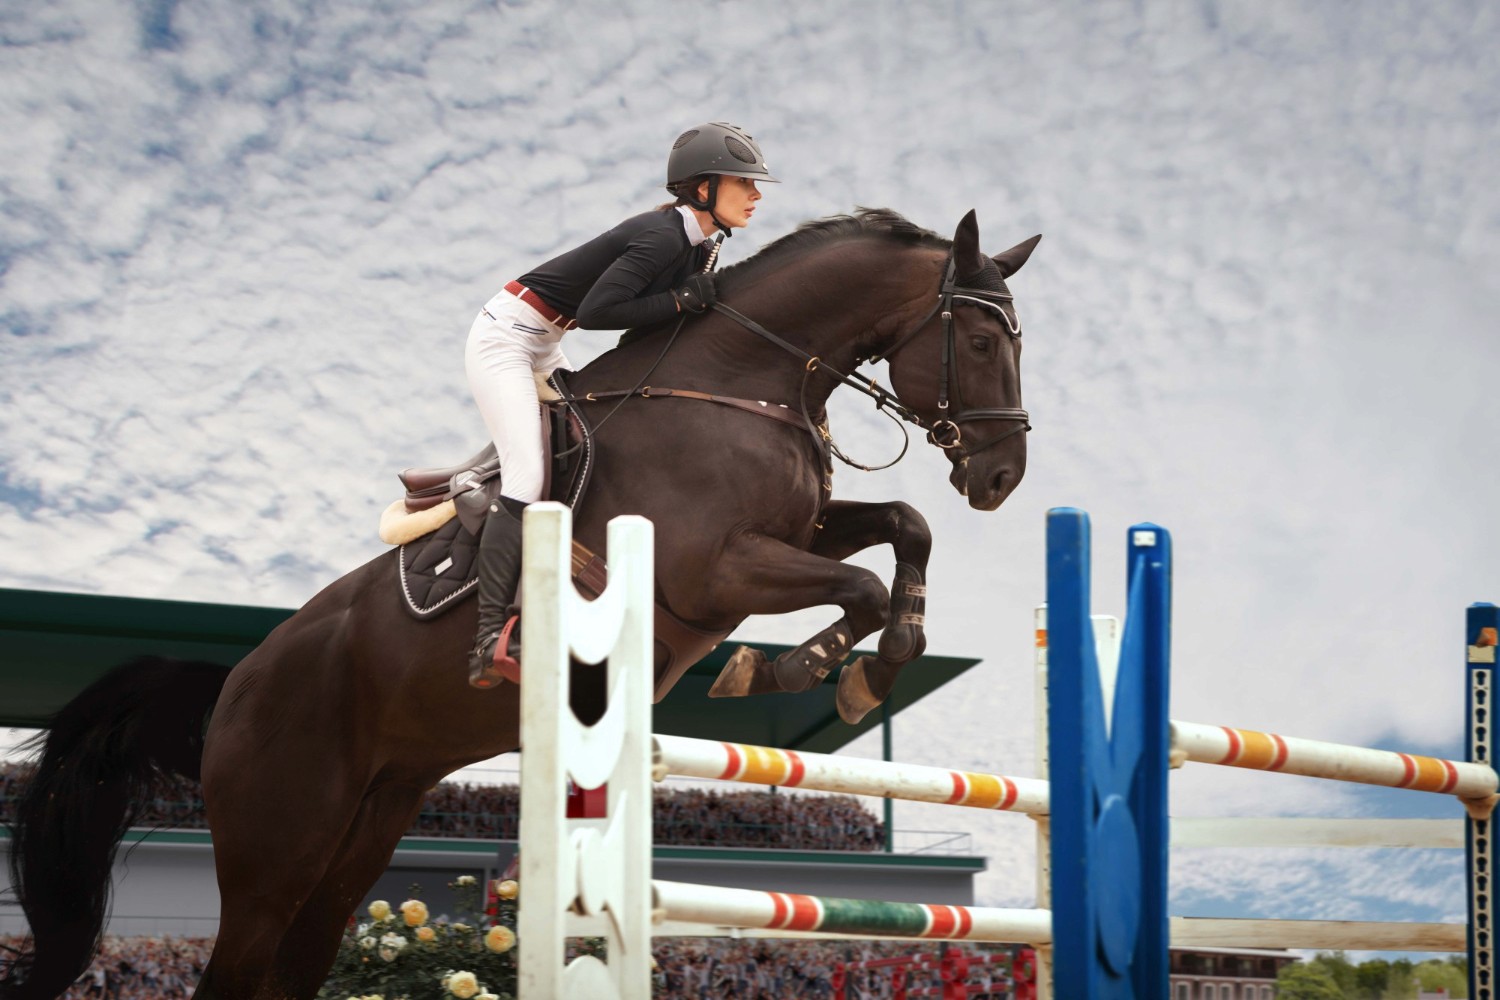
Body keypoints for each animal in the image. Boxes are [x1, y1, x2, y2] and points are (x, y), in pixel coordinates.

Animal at [0, 207, 1038, 1000]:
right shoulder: (713, 570)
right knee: (236, 967)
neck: (744, 381)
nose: (1001, 478)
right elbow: (858, 583)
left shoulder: (801, 529)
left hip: (362, 832)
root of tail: (234, 685)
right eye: (985, 341)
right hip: (274, 849)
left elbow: (905, 527)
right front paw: (802, 667)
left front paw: (869, 658)